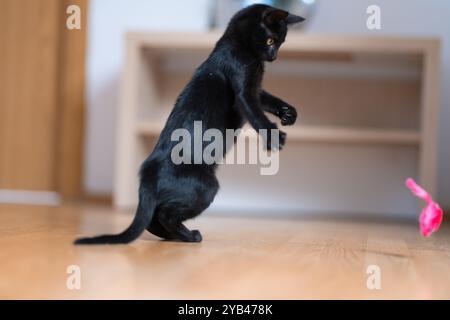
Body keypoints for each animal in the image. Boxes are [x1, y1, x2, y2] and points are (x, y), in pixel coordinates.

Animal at [75, 5, 304, 244]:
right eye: (270, 41)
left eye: (281, 43)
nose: (274, 56)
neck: (238, 46)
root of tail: (148, 172)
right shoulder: (243, 87)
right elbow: (255, 112)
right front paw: (274, 137)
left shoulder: (256, 87)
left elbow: (267, 99)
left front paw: (288, 112)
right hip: (207, 187)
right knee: (164, 214)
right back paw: (190, 235)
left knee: (154, 218)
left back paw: (175, 236)